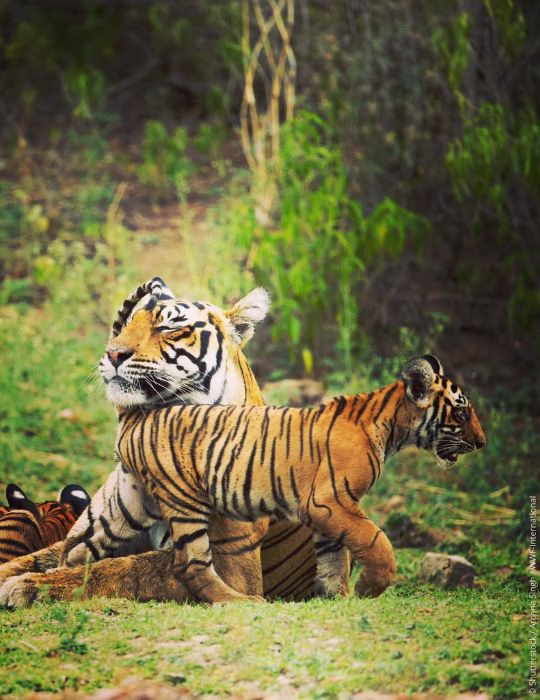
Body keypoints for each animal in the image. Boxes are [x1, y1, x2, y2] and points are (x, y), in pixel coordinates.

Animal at [0, 278, 326, 607]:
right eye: (128, 324)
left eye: (168, 328)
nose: (113, 353)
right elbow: (36, 557)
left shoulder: (231, 565)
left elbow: (124, 570)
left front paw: (26, 586)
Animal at [4, 353, 485, 606]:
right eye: (462, 412)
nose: (481, 442)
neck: (391, 424)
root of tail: (138, 418)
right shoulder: (328, 503)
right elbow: (374, 540)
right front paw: (372, 585)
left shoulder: (326, 515)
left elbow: (334, 559)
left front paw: (338, 597)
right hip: (185, 504)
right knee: (183, 565)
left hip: (118, 514)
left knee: (74, 554)